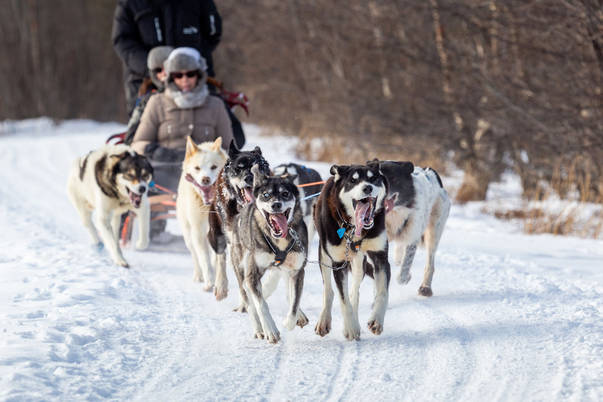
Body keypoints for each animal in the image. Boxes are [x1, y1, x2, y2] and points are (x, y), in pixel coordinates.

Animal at [179, 137, 229, 298]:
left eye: (214, 167)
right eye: (197, 168)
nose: (205, 179)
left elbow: (216, 258)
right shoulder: (198, 233)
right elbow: (204, 259)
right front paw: (209, 281)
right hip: (188, 236)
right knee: (196, 257)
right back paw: (199, 276)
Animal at [210, 143, 272, 312]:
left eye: (259, 167)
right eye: (239, 167)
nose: (249, 177)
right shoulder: (235, 244)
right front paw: (246, 304)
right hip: (218, 235)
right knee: (221, 257)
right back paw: (221, 287)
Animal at [229, 165, 310, 344]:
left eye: (285, 194)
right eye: (266, 195)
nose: (276, 205)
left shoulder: (297, 271)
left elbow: (295, 302)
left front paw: (289, 321)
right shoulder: (252, 275)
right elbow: (261, 305)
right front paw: (271, 330)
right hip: (241, 269)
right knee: (249, 300)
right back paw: (259, 329)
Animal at [314, 160, 390, 340]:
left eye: (373, 178)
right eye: (353, 181)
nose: (367, 188)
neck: (354, 228)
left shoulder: (381, 257)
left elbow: (382, 292)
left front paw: (376, 320)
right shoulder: (338, 262)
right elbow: (343, 299)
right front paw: (350, 328)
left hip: (358, 262)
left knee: (354, 292)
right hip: (324, 256)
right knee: (329, 291)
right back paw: (324, 320)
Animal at [380, 159, 450, 296]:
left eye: (394, 178)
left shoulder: (413, 237)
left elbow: (405, 266)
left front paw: (405, 277)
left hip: (434, 232)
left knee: (430, 263)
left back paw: (425, 287)